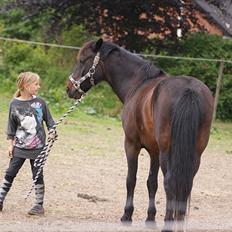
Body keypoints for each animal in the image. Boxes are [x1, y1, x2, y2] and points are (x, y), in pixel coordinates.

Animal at [65, 38, 214, 230]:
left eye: (83, 60)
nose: (69, 88)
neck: (137, 84)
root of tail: (189, 90)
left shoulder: (131, 144)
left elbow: (131, 179)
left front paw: (127, 215)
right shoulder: (154, 151)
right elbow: (151, 182)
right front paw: (150, 218)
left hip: (168, 152)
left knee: (170, 183)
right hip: (194, 154)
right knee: (185, 183)